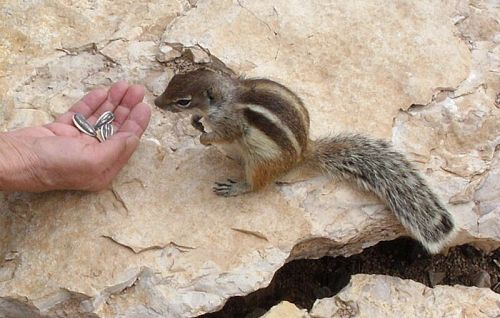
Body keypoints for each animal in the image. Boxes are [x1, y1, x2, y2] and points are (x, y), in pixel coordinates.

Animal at [156, 67, 458, 253]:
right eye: (173, 80)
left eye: (183, 101)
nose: (157, 103)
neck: (225, 97)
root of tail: (303, 153)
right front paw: (196, 124)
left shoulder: (230, 123)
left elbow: (223, 133)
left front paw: (204, 138)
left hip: (259, 162)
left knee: (257, 183)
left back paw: (237, 186)